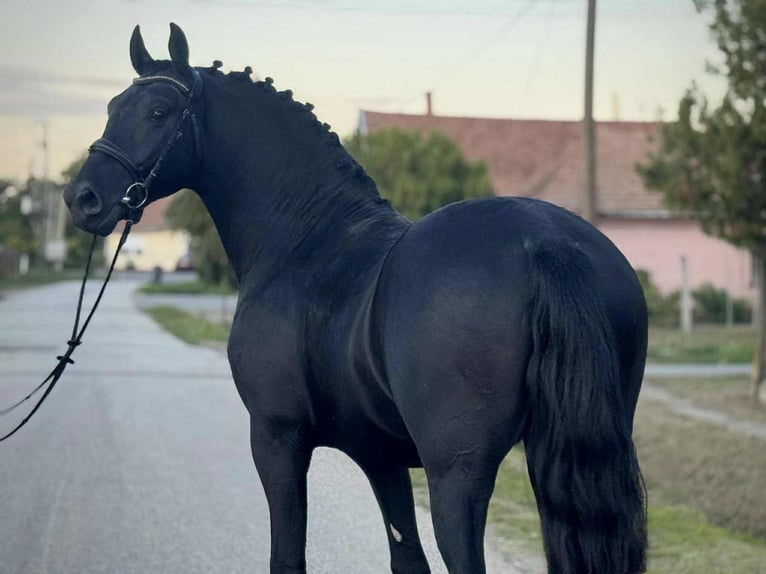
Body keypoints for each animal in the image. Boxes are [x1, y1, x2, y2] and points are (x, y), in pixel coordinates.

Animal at [64, 23, 648, 574]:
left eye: (158, 112)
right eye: (113, 107)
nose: (82, 198)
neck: (306, 236)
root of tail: (543, 241)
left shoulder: (276, 437)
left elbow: (287, 557)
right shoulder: (380, 456)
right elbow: (406, 559)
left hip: (456, 475)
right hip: (556, 459)